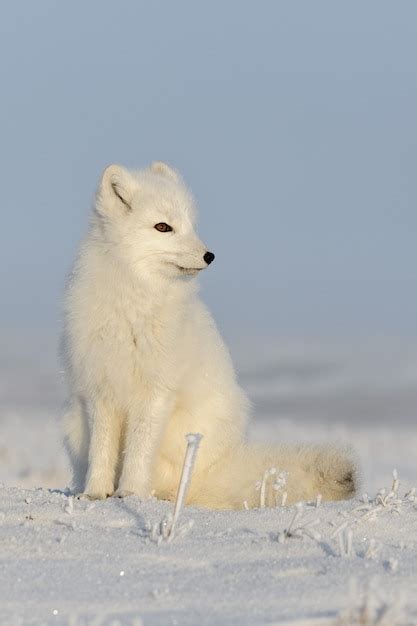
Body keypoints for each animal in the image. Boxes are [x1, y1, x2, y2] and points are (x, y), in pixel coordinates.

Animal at [61, 161, 354, 508]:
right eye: (163, 227)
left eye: (190, 225)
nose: (209, 256)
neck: (134, 302)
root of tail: (220, 470)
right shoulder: (100, 389)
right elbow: (101, 451)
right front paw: (95, 493)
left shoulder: (156, 391)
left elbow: (139, 451)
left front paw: (130, 493)